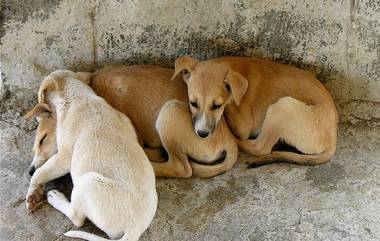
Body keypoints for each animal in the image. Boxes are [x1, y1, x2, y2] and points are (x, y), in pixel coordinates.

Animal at [173, 56, 338, 166]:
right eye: (193, 103)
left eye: (217, 106)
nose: (202, 134)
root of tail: (333, 139)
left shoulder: (243, 126)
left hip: (283, 106)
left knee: (260, 147)